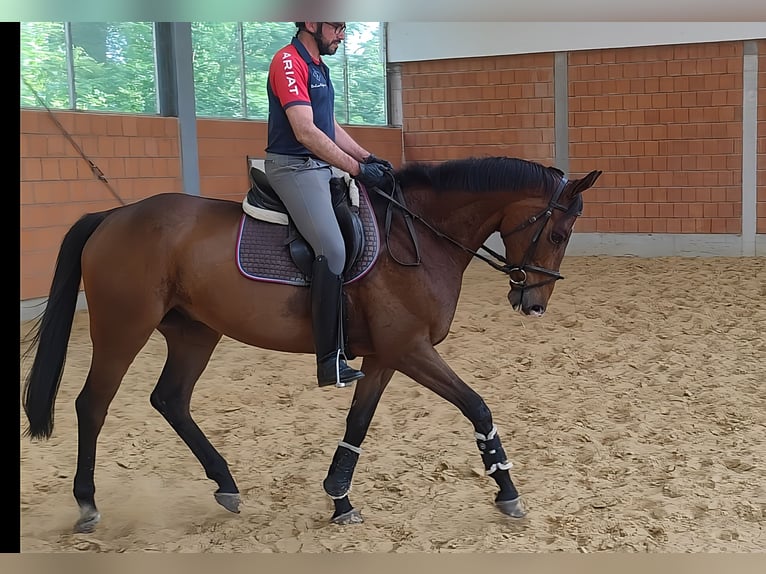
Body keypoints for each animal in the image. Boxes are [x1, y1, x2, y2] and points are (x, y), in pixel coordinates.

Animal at [19, 156, 608, 536]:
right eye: (558, 235)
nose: (533, 303)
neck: (418, 234)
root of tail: (113, 217)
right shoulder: (411, 349)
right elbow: (477, 406)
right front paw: (507, 492)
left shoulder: (385, 356)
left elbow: (358, 423)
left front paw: (340, 497)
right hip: (123, 329)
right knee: (93, 404)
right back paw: (87, 503)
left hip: (194, 332)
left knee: (170, 400)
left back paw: (226, 484)